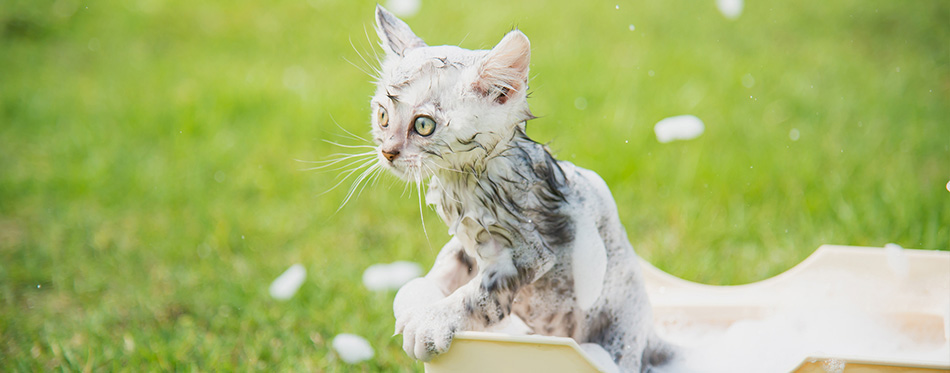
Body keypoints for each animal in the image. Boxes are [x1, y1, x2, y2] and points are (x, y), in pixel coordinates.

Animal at [368, 6, 672, 372]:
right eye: (383, 117)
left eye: (423, 125)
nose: (388, 152)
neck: (465, 184)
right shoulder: (466, 243)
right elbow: (436, 273)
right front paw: (416, 299)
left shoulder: (530, 252)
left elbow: (479, 295)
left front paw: (432, 323)